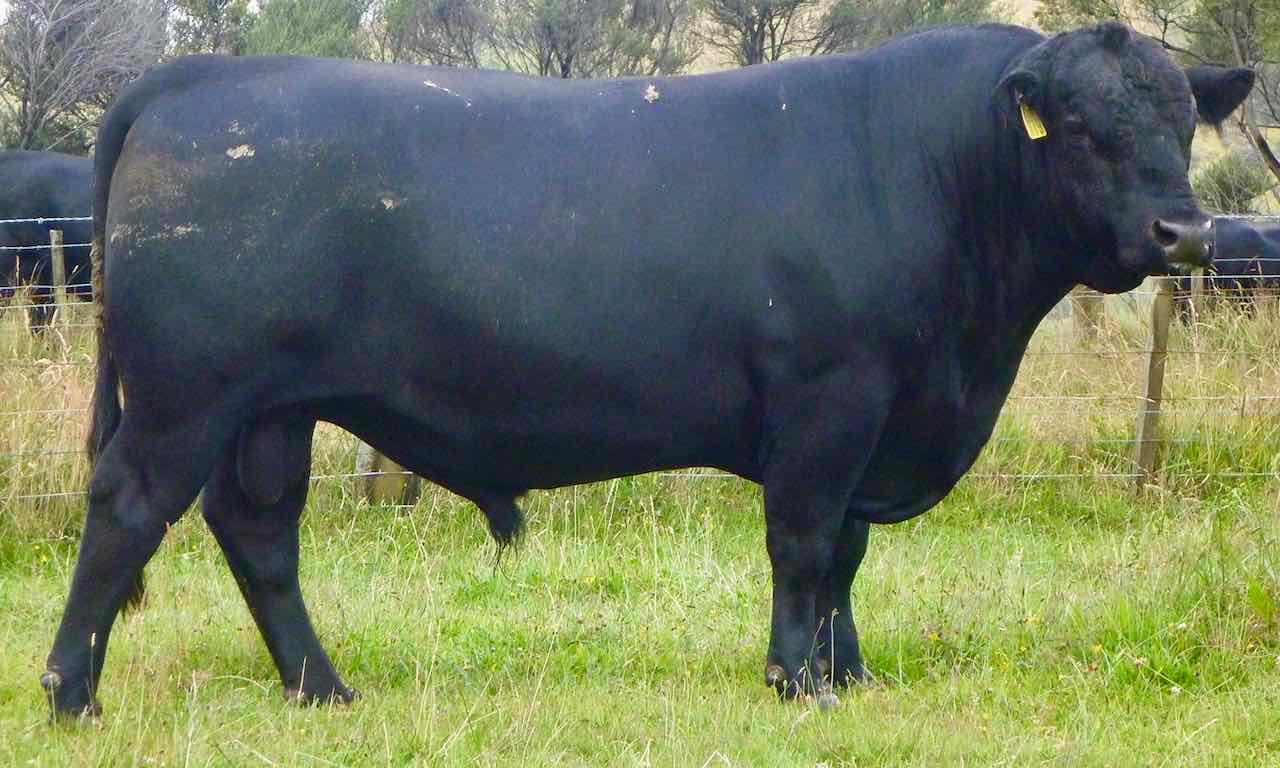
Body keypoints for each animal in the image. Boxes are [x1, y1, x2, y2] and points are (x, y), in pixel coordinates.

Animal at [41, 22, 1252, 718]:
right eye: (1081, 128)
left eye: (1183, 120)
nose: (1183, 231)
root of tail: (195, 76)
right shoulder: (829, 399)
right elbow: (805, 545)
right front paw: (797, 683)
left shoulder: (876, 419)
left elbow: (847, 554)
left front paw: (849, 674)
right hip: (184, 400)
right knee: (126, 515)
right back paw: (71, 694)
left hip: (269, 412)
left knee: (258, 535)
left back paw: (324, 692)